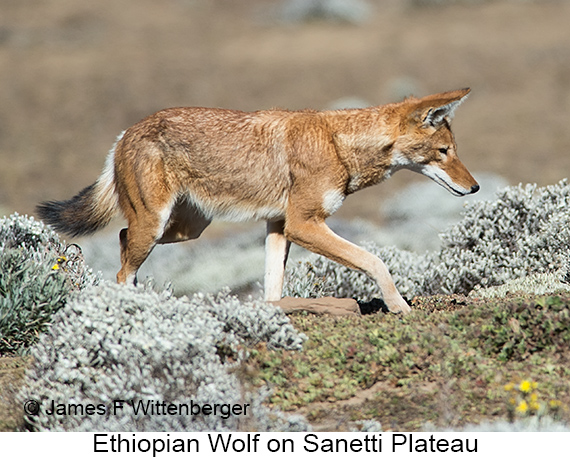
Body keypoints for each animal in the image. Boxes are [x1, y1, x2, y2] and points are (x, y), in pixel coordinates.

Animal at [37, 88, 478, 314]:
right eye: (444, 152)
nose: (474, 188)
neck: (337, 144)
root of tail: (126, 133)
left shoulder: (280, 226)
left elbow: (272, 288)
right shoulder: (303, 224)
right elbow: (376, 261)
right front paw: (399, 306)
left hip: (183, 230)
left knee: (122, 239)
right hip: (157, 225)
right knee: (122, 266)